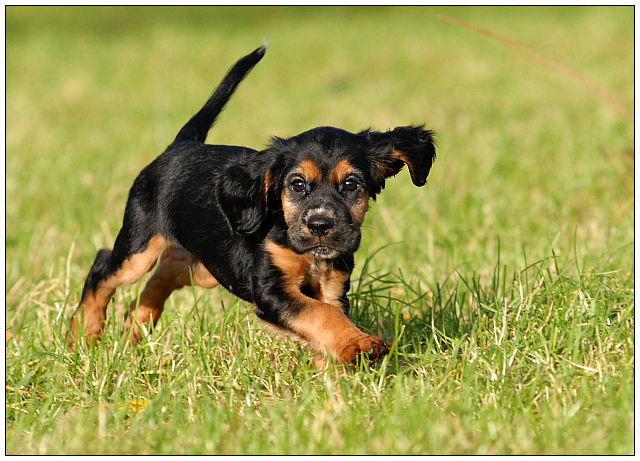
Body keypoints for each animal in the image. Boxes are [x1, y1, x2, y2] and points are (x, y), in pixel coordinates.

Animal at [69, 45, 436, 366]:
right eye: (297, 185)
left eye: (351, 184)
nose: (320, 226)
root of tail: (182, 144)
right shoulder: (271, 289)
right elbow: (321, 315)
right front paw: (359, 345)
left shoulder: (332, 285)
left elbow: (327, 317)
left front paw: (334, 371)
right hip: (139, 247)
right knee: (103, 266)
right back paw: (83, 336)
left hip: (209, 265)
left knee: (168, 269)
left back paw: (137, 325)